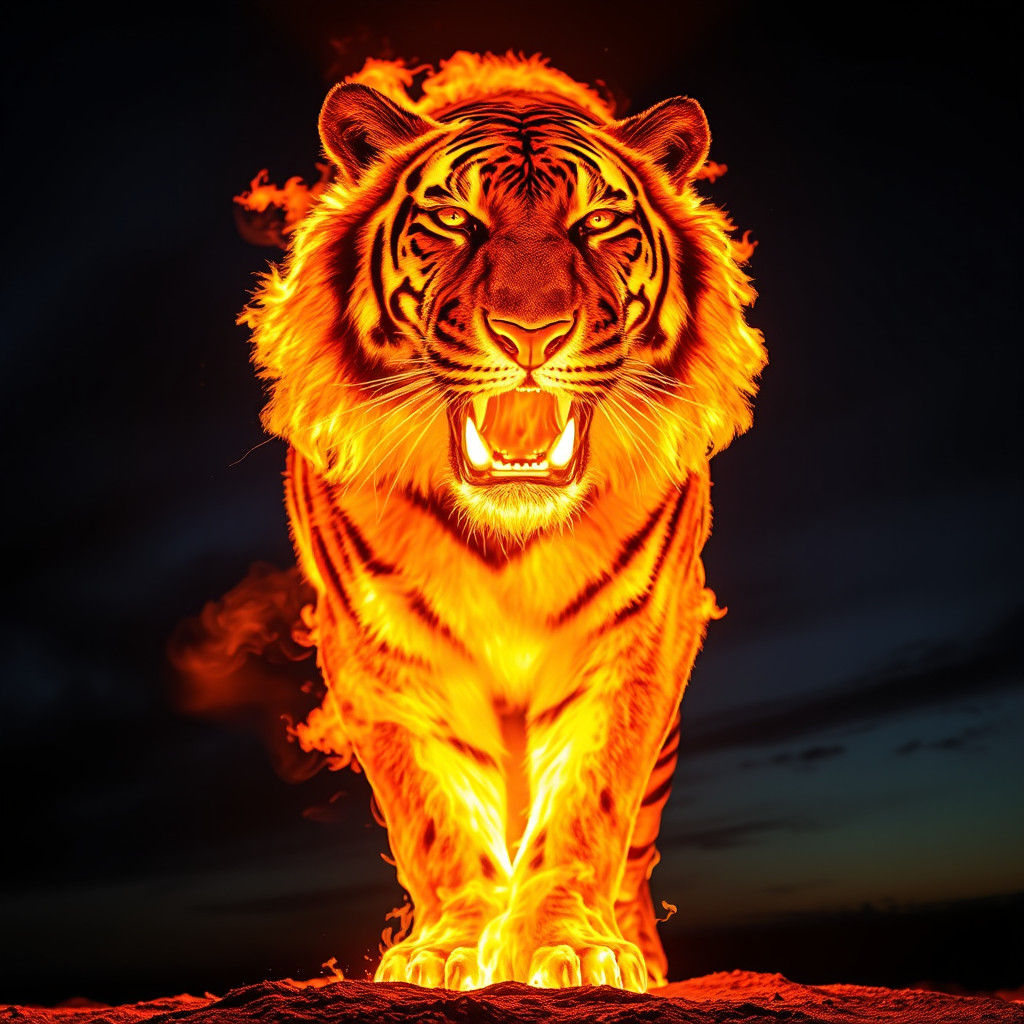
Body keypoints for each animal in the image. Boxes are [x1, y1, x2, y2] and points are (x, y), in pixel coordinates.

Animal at [242, 52, 765, 992]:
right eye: (454, 220)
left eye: (599, 223)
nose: (531, 331)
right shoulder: (381, 655)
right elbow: (435, 813)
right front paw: (448, 948)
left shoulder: (635, 642)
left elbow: (589, 802)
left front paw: (577, 947)